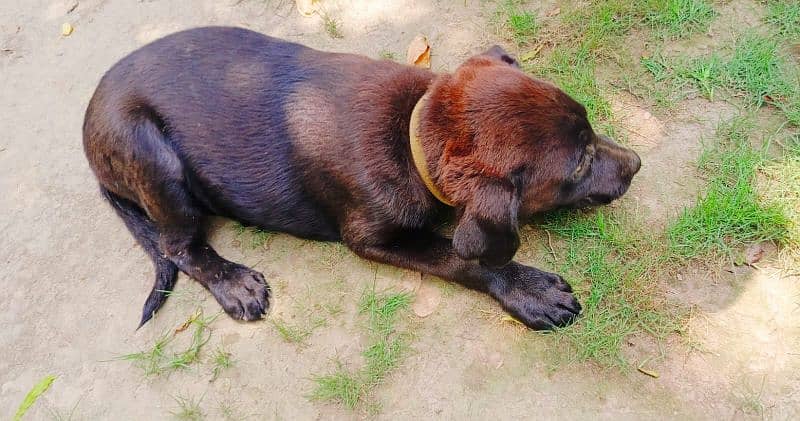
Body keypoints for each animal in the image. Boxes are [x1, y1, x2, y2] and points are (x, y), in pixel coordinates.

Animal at [84, 26, 640, 330]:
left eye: (591, 126)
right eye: (580, 164)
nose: (636, 163)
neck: (409, 134)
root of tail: (88, 124)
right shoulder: (371, 238)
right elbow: (464, 259)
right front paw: (529, 290)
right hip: (153, 158)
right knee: (178, 246)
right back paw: (234, 282)